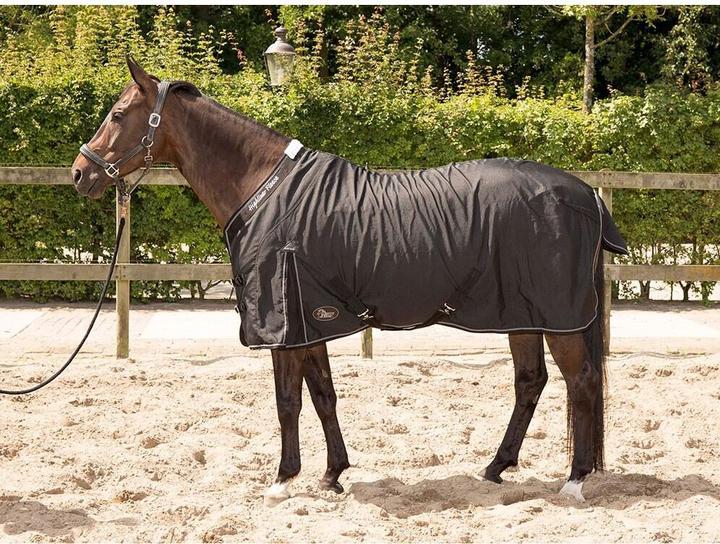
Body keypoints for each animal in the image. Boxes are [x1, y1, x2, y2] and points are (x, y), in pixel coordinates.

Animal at [71, 57, 628, 505]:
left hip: (557, 318)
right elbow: (323, 396)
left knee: (581, 382)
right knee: (530, 382)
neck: (264, 190)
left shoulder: (285, 325)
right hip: (521, 313)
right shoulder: (310, 321)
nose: (80, 173)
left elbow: (288, 402)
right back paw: (495, 467)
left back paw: (574, 481)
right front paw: (332, 475)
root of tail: (585, 195)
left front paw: (282, 481)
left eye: (117, 115)